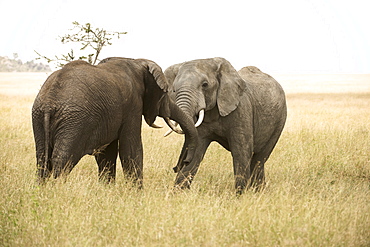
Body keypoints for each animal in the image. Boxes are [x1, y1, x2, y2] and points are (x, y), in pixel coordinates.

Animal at [31, 57, 199, 186]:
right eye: (165, 93)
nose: (180, 165)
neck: (137, 62)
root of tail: (49, 102)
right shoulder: (132, 106)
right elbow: (131, 149)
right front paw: (136, 195)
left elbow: (107, 154)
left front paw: (106, 190)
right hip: (73, 122)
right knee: (63, 159)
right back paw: (57, 189)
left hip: (39, 118)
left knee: (42, 159)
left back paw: (41, 190)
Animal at [163, 57, 288, 193]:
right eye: (174, 89)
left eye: (205, 85)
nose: (176, 167)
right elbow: (196, 152)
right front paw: (177, 194)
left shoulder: (241, 110)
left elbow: (241, 151)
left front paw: (241, 195)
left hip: (280, 119)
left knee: (259, 158)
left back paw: (257, 191)